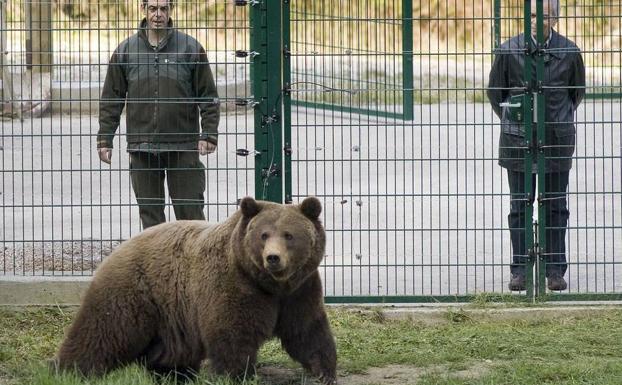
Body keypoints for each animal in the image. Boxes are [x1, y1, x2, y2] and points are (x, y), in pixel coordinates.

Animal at [53, 196, 336, 382]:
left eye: (289, 235)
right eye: (264, 235)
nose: (273, 258)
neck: (269, 283)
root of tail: (118, 247)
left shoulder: (299, 290)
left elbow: (307, 330)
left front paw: (324, 370)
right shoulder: (234, 285)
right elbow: (233, 334)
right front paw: (238, 375)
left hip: (170, 312)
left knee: (168, 351)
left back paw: (173, 375)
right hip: (131, 293)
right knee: (101, 333)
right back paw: (69, 370)